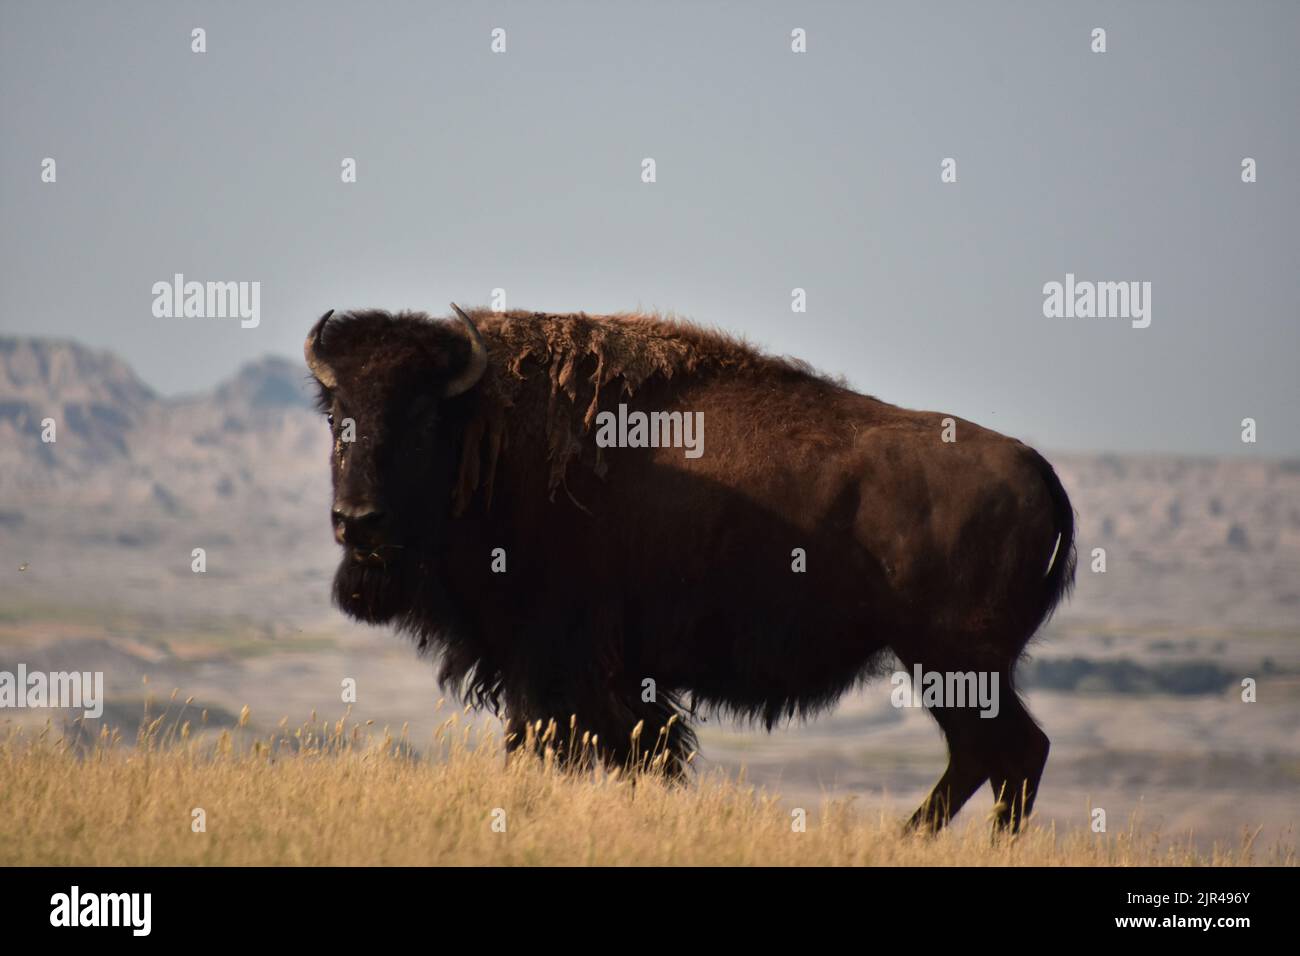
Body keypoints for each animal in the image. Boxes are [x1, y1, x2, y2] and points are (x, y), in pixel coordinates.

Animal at [305, 305, 1075, 832]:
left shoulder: (555, 668)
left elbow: (565, 748)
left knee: (1012, 753)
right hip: (951, 668)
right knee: (989, 758)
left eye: (422, 420)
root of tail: (1036, 468)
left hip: (952, 662)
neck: (489, 432)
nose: (358, 521)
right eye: (338, 416)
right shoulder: (595, 679)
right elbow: (640, 752)